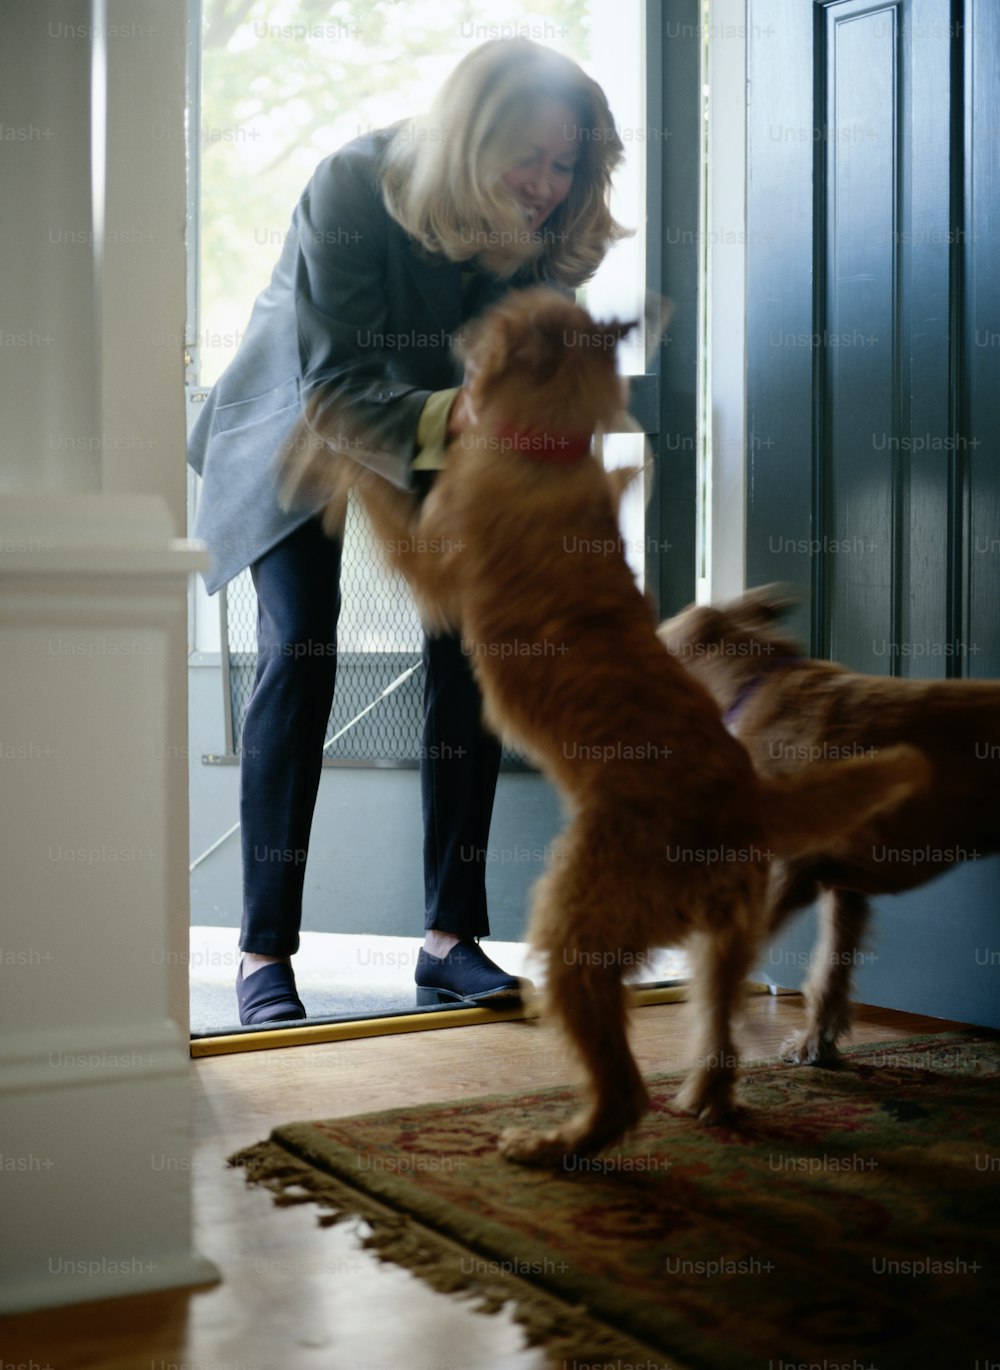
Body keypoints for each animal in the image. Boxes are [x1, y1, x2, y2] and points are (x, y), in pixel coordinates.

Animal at [280, 289, 926, 1167]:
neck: (546, 447)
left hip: (576, 935)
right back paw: (706, 1101)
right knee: (719, 1044)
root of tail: (748, 802)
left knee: (621, 1092)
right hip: (721, 948)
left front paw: (310, 454)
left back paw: (556, 1143)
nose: (462, 327)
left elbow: (366, 485)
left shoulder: (429, 566)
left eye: (505, 314)